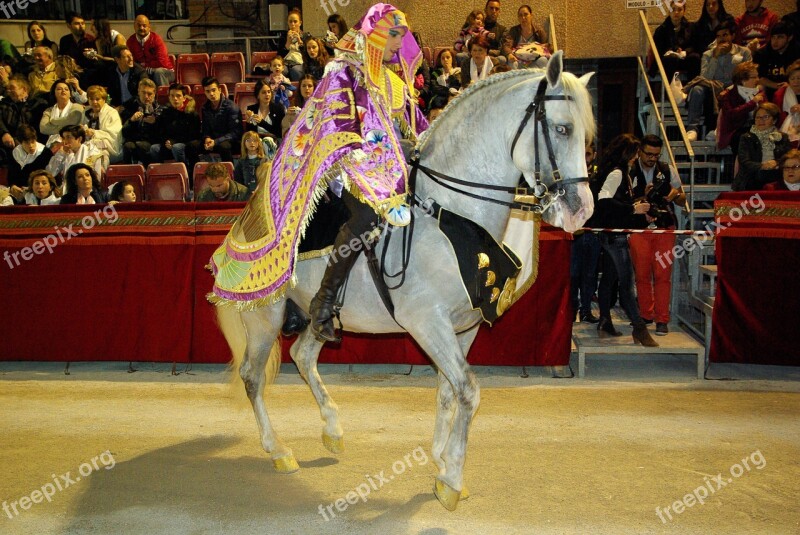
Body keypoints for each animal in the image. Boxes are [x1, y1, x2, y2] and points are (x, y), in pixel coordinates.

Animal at [217, 52, 592, 512]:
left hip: (312, 316)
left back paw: (332, 429)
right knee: (253, 376)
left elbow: (450, 390)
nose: (580, 210)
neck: (450, 216)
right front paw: (451, 479)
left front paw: (441, 461)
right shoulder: (428, 323)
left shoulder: (463, 328)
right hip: (264, 316)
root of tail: (246, 216)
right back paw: (279, 450)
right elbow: (468, 390)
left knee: (303, 355)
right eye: (563, 128)